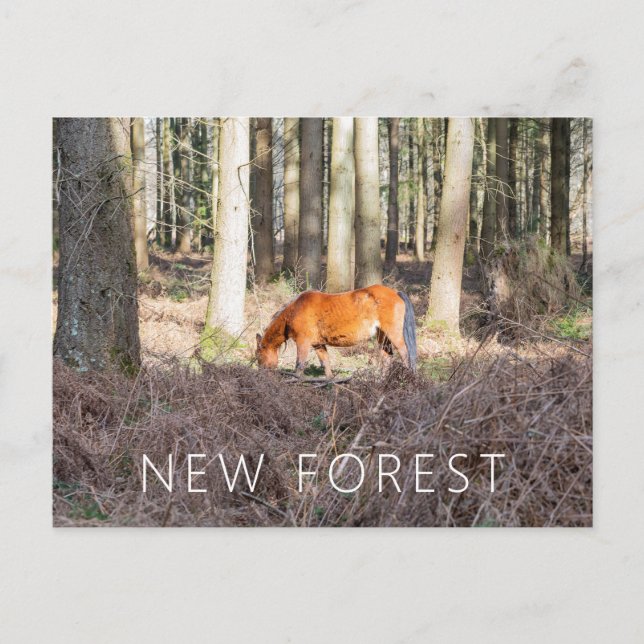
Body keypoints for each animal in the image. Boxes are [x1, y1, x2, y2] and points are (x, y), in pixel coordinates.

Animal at [255, 284, 417, 378]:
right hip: (382, 336)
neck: (294, 311)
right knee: (387, 357)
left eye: (258, 356)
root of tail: (396, 293)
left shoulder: (303, 343)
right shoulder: (318, 344)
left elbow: (299, 365)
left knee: (405, 354)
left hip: (394, 334)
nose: (261, 374)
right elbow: (325, 364)